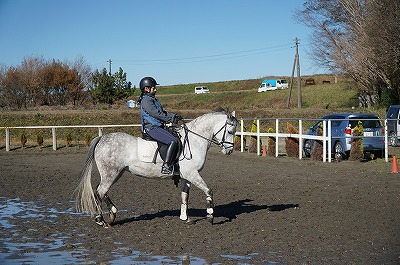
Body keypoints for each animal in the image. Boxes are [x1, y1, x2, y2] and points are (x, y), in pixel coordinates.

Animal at [74, 109, 238, 227]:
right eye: (230, 131)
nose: (229, 151)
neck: (194, 140)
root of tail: (102, 138)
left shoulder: (187, 176)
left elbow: (185, 196)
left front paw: (185, 218)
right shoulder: (192, 174)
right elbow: (209, 191)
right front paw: (210, 216)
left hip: (116, 173)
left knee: (100, 190)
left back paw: (112, 214)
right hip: (111, 173)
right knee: (100, 192)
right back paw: (101, 220)